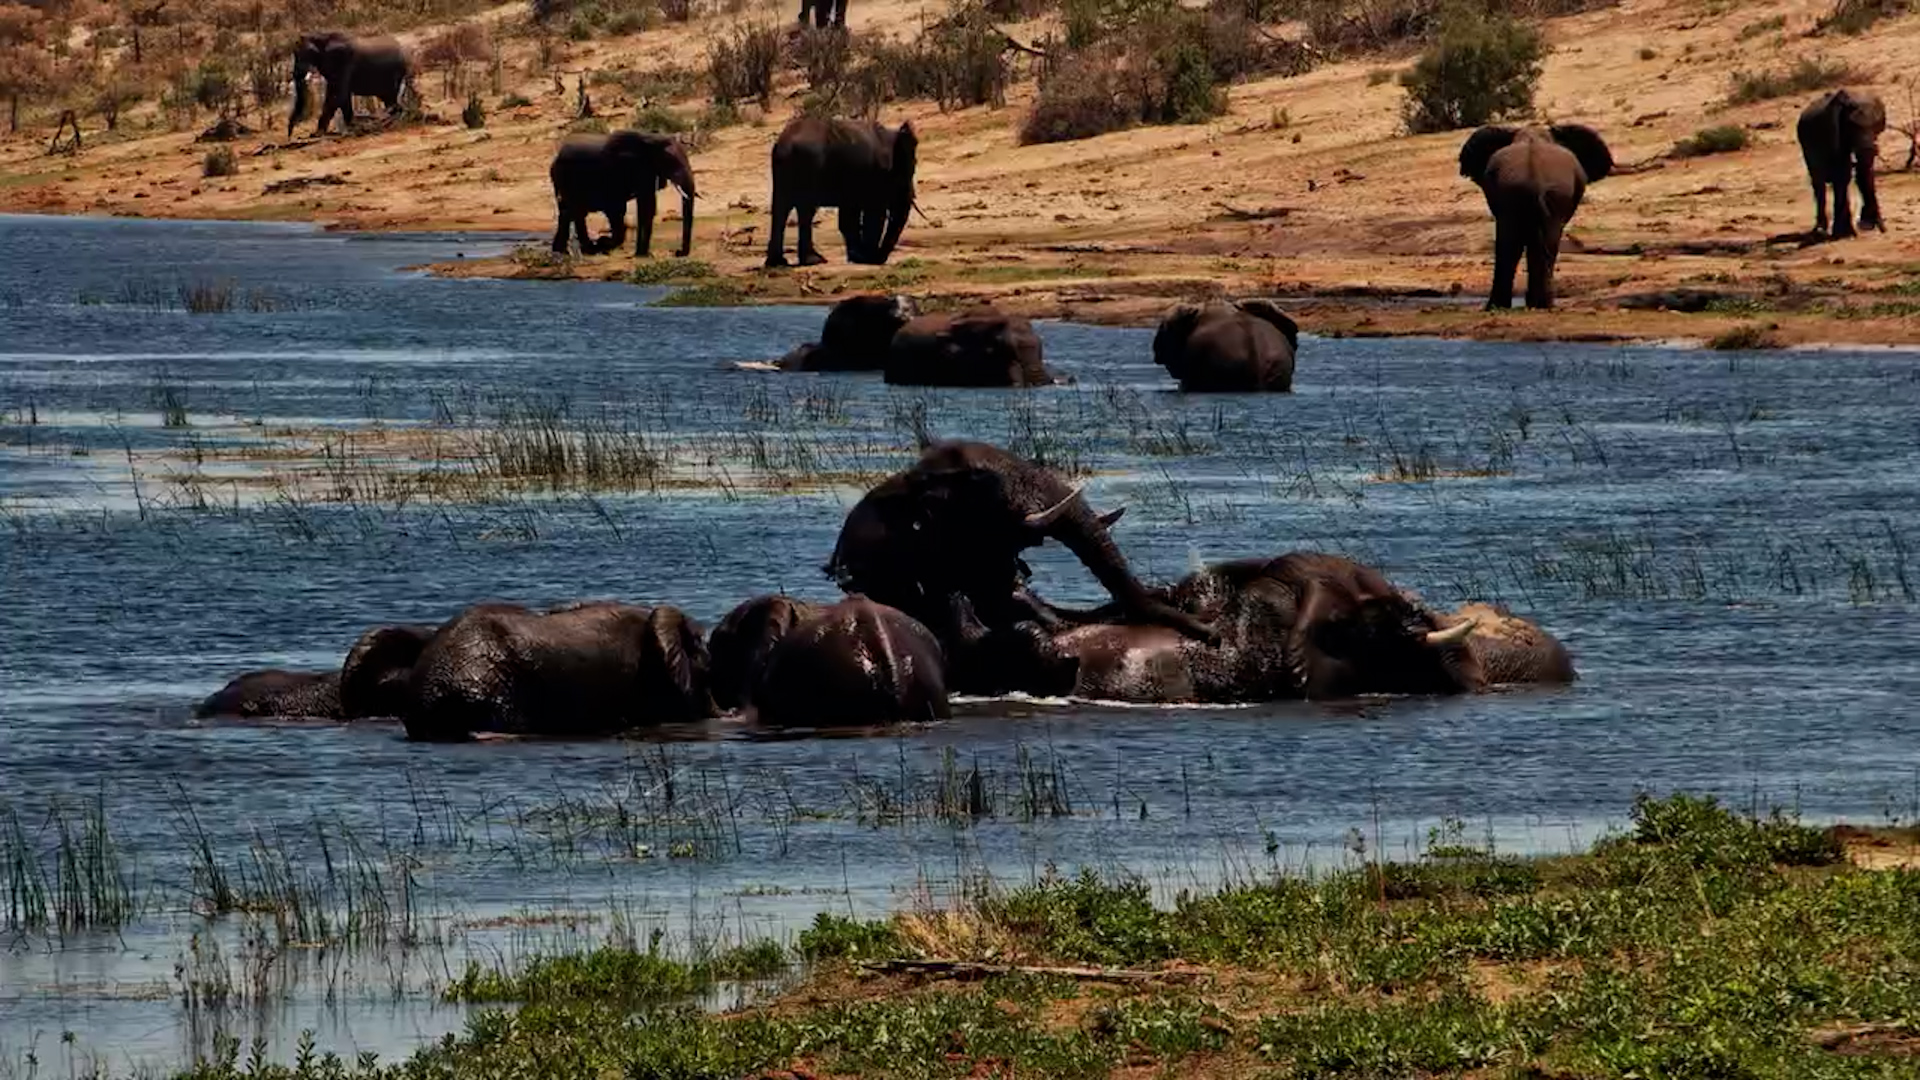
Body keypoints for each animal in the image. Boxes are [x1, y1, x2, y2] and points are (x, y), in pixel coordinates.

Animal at [549, 131, 697, 258]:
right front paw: (603, 243)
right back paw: (587, 250)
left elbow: (647, 208)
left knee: (568, 212)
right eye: (672, 163)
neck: (651, 140)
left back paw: (563, 251)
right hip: (565, 178)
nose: (677, 252)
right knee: (575, 211)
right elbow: (617, 209)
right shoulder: (620, 171)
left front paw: (642, 255)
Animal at [765, 116, 917, 268]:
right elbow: (874, 214)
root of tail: (783, 143)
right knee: (805, 210)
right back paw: (814, 260)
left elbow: (849, 216)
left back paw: (777, 262)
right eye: (910, 171)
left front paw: (858, 257)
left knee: (781, 209)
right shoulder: (877, 175)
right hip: (808, 166)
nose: (881, 258)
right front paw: (867, 258)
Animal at [1458, 124, 1613, 310]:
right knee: (1540, 244)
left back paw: (1512, 306)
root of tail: (1534, 180)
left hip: (1518, 196)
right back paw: (1539, 305)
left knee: (1513, 243)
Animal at [1796, 89, 1887, 240]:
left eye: (1875, 125)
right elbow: (1843, 174)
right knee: (1819, 182)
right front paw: (1845, 233)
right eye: (1852, 127)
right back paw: (1821, 231)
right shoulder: (1832, 131)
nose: (1865, 225)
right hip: (1805, 142)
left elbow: (1859, 172)